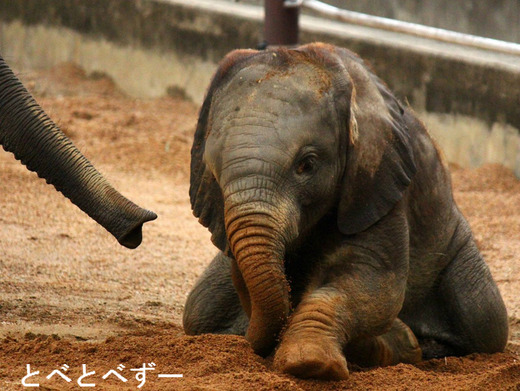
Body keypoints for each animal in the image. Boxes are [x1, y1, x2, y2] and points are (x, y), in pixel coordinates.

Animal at [183, 42, 508, 380]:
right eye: (213, 174)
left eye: (307, 165)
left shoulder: (378, 186)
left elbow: (371, 283)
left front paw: (311, 363)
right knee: (200, 308)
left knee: (484, 318)